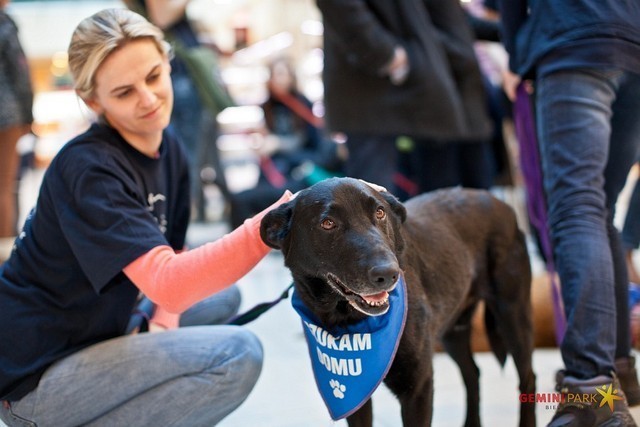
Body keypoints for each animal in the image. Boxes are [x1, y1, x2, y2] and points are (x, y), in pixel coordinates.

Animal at [260, 178, 536, 427]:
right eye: (327, 223)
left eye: (379, 212)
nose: (389, 274)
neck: (346, 320)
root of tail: (498, 201)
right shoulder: (356, 399)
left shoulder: (417, 388)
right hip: (453, 331)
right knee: (472, 374)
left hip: (512, 315)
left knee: (528, 377)